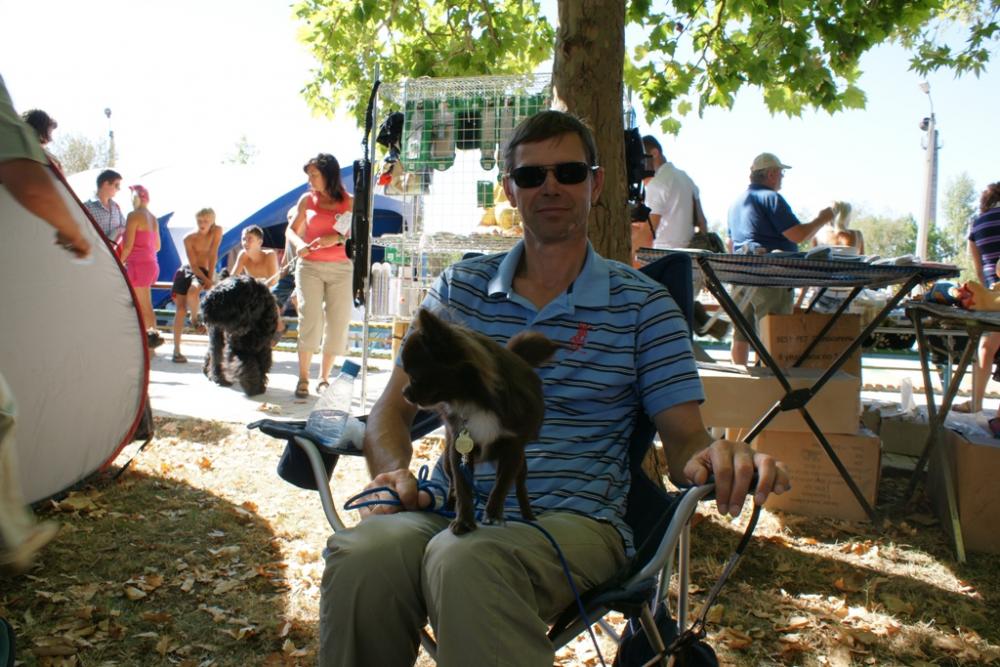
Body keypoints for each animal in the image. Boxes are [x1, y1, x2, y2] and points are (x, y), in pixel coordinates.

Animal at [400, 308, 559, 535]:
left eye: (414, 376)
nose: (404, 393)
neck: (475, 401)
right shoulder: (458, 449)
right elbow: (463, 487)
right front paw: (464, 520)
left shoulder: (513, 449)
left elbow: (501, 485)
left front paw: (493, 516)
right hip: (447, 460)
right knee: (452, 483)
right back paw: (450, 505)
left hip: (521, 464)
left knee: (520, 486)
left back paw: (528, 515)